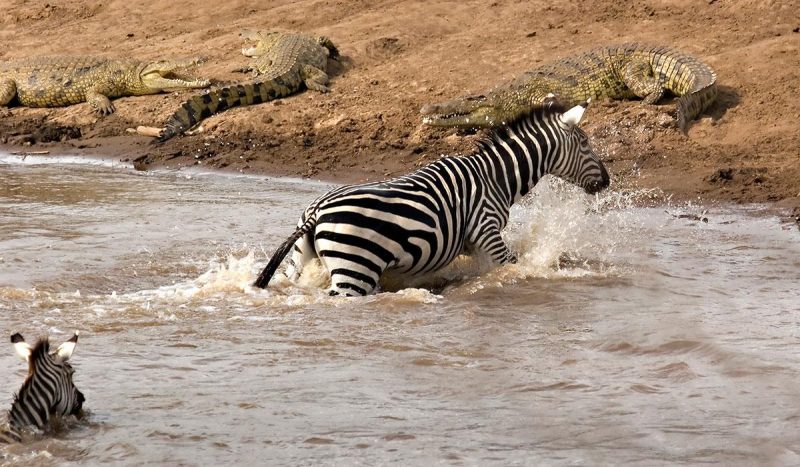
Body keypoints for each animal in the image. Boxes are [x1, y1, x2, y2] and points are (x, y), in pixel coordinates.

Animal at [253, 96, 609, 296]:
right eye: (585, 144)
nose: (606, 182)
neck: (495, 177)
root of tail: (316, 212)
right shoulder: (487, 230)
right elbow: (514, 266)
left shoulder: (470, 243)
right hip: (355, 268)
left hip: (303, 260)